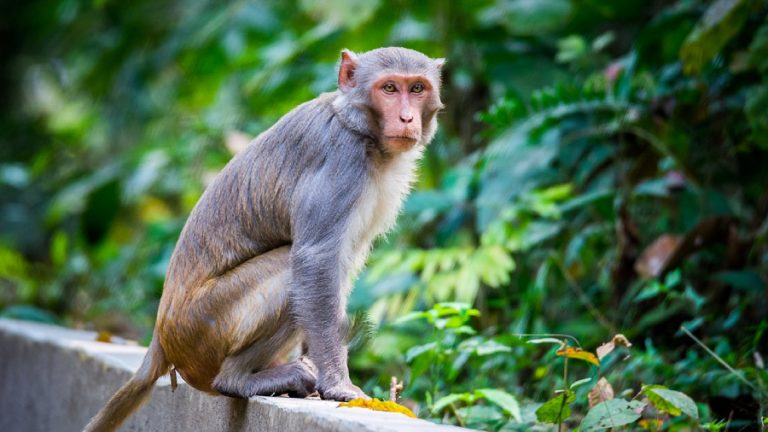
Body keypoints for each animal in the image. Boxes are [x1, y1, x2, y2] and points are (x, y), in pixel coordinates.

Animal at [83, 47, 444, 432]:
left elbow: (342, 264)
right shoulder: (341, 161)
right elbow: (316, 259)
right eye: (389, 88)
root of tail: (161, 337)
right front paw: (337, 383)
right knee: (288, 267)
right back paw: (239, 379)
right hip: (206, 328)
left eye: (417, 88)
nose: (407, 117)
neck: (359, 129)